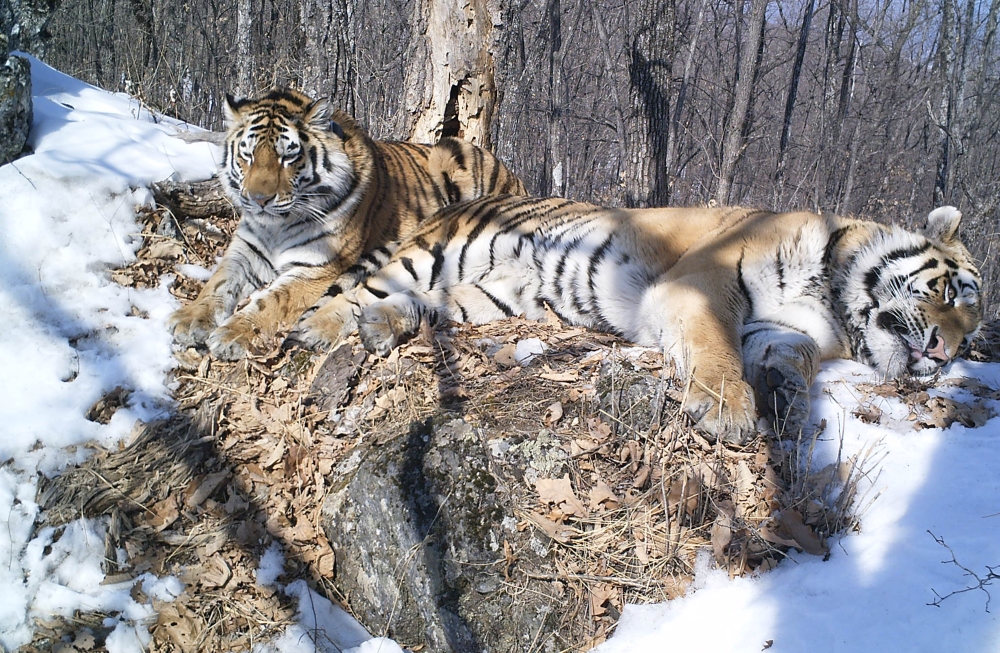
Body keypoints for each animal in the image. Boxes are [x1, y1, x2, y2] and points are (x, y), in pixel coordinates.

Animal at [168, 88, 525, 359]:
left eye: (288, 156)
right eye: (248, 155)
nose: (258, 199)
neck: (276, 225)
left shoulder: (317, 268)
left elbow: (271, 301)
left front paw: (231, 334)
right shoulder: (245, 251)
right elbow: (217, 283)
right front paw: (188, 320)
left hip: (453, 154)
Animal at [289, 195, 983, 445]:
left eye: (973, 333)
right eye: (951, 294)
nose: (945, 354)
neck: (833, 298)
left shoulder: (785, 329)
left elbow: (793, 358)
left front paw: (784, 397)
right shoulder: (702, 284)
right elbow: (715, 348)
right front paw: (728, 409)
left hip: (488, 297)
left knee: (420, 305)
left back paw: (383, 326)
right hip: (437, 253)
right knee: (351, 291)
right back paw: (316, 330)